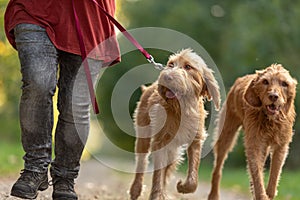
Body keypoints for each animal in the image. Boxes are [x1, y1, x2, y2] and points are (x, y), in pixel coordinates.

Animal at [129, 48, 220, 200]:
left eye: (188, 67)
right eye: (171, 64)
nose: (167, 77)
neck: (181, 108)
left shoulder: (195, 140)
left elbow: (193, 178)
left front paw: (183, 187)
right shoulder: (160, 142)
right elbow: (157, 175)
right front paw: (157, 196)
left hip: (173, 152)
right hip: (144, 137)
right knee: (141, 163)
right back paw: (135, 189)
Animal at [209, 64, 298, 200]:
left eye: (284, 84)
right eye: (265, 82)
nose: (273, 96)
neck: (270, 120)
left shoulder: (281, 146)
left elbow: (274, 173)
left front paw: (268, 193)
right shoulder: (255, 144)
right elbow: (257, 173)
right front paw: (262, 195)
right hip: (227, 134)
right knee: (218, 167)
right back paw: (213, 194)